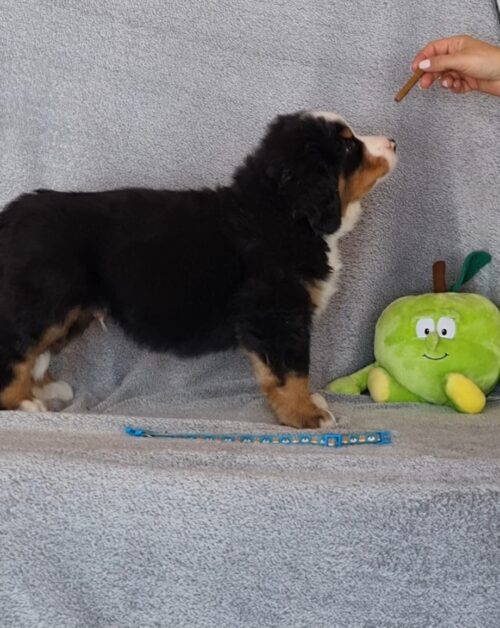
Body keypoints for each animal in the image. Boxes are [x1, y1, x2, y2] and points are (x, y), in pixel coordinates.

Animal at [0, 111, 396, 428]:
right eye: (348, 146)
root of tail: (15, 212)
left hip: (67, 311)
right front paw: (306, 415)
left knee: (35, 351)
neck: (283, 214)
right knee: (16, 346)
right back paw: (21, 402)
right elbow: (291, 371)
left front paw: (309, 403)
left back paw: (44, 389)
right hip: (44, 301)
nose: (393, 141)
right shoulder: (278, 314)